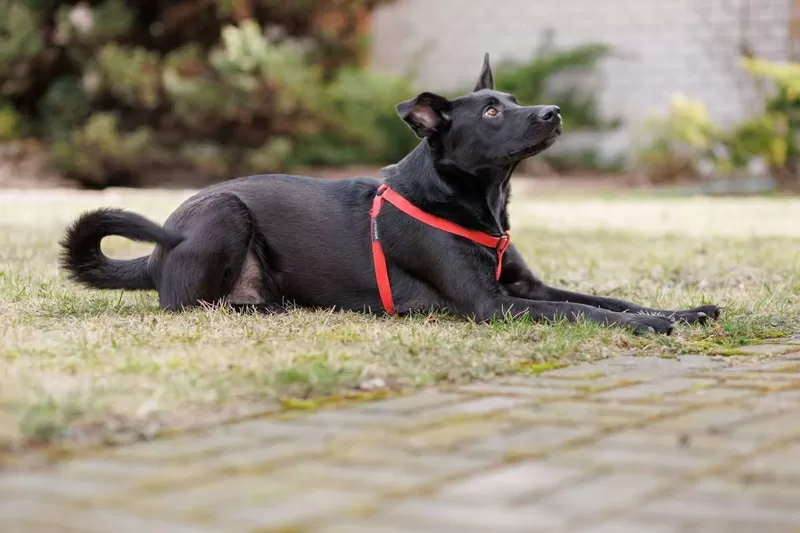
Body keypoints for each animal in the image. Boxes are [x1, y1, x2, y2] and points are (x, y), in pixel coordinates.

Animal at [57, 53, 720, 332]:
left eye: (510, 100)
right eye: (490, 112)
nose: (553, 113)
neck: (470, 199)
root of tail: (153, 257)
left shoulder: (527, 287)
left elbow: (611, 300)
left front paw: (683, 312)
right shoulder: (495, 306)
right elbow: (584, 311)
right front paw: (658, 328)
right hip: (223, 214)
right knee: (184, 303)